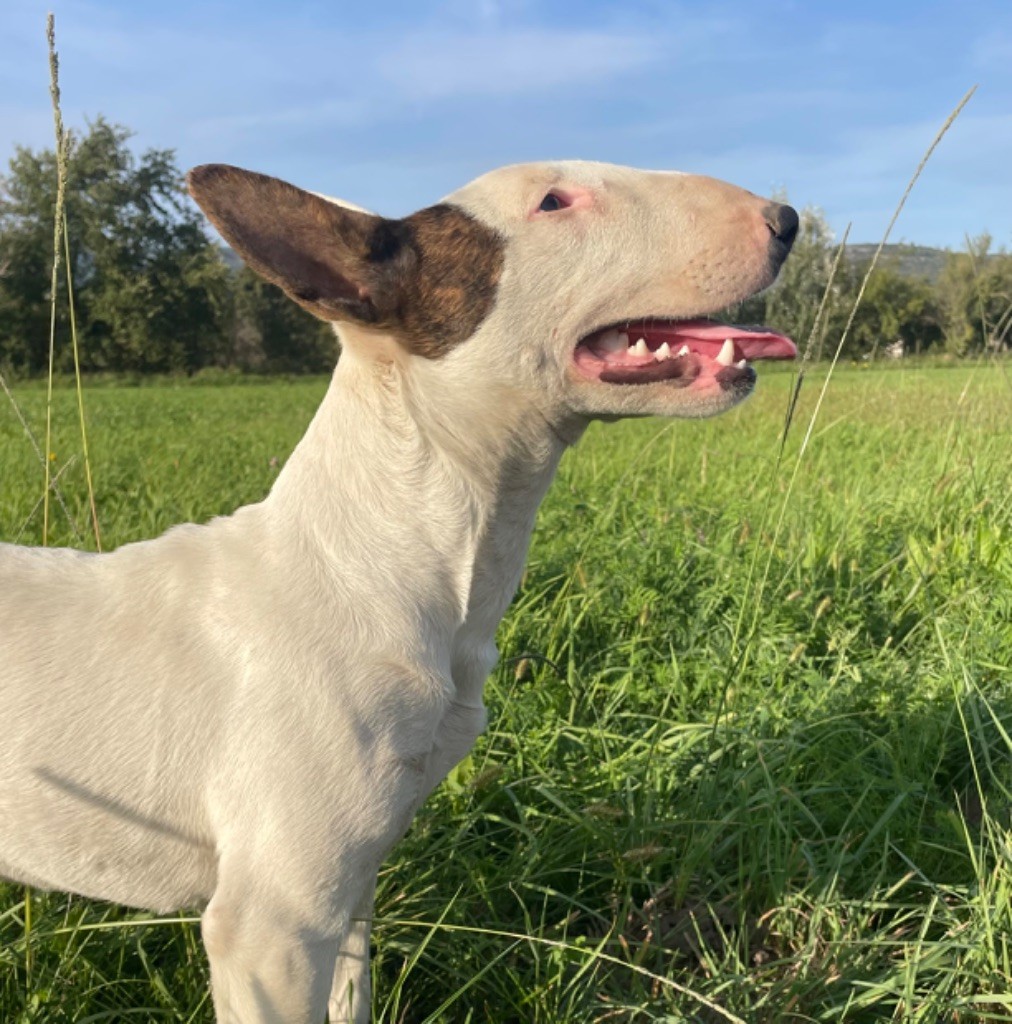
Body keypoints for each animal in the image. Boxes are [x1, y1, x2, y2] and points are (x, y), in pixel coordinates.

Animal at [0, 163, 798, 1019]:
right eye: (553, 200)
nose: (785, 220)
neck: (371, 565)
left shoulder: (350, 890)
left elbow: (353, 997)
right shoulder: (269, 928)